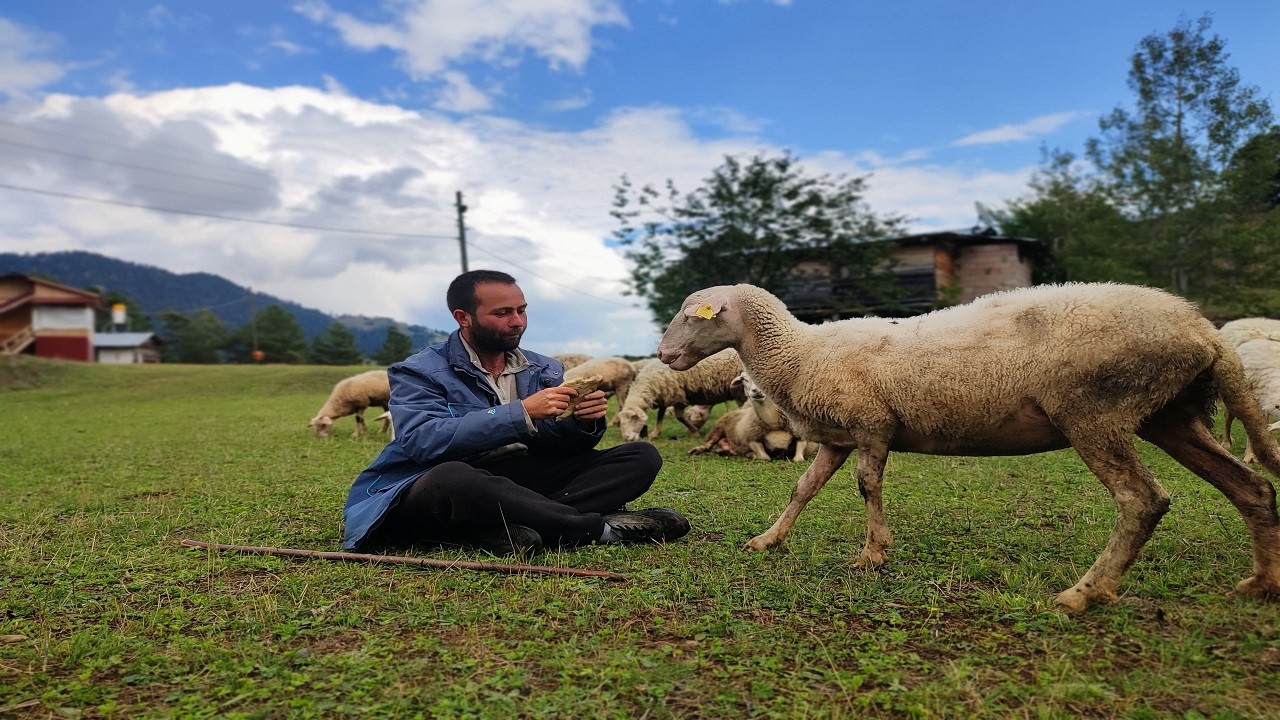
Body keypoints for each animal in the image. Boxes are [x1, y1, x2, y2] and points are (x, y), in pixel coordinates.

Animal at [614, 345, 747, 440]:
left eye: (634, 418)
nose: (627, 438)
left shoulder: (677, 395)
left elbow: (678, 417)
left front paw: (694, 432)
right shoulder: (666, 395)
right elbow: (660, 415)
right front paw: (655, 433)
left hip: (739, 390)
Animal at [655, 283, 1280, 607]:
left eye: (694, 315)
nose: (662, 355)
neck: (799, 351)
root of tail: (1205, 332)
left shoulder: (872, 426)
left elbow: (866, 486)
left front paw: (873, 553)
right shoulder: (840, 435)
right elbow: (804, 489)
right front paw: (769, 539)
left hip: (1094, 413)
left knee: (1143, 501)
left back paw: (1085, 591)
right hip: (1169, 415)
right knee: (1251, 487)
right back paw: (1263, 582)